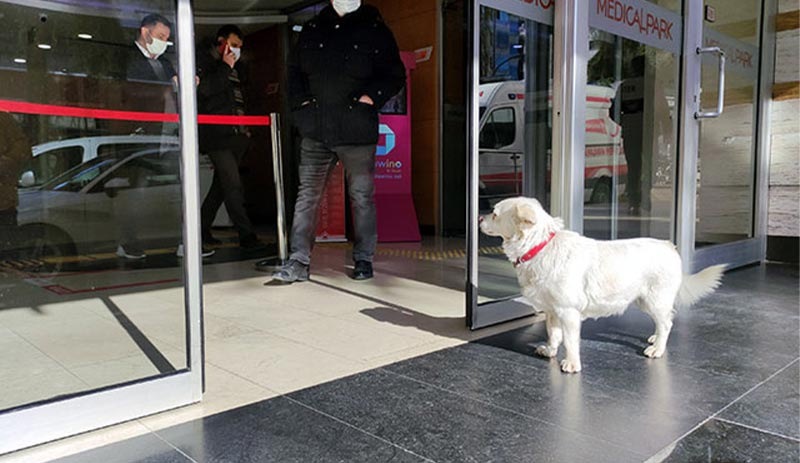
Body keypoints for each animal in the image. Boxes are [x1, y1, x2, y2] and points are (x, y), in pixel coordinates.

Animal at [478, 198, 728, 376]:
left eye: (495, 213)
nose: (479, 217)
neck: (539, 246)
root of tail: (670, 246)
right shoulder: (552, 311)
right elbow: (554, 335)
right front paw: (550, 351)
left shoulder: (568, 312)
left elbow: (570, 341)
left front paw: (572, 363)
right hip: (643, 301)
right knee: (663, 322)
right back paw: (654, 339)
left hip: (655, 300)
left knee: (667, 323)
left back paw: (657, 349)